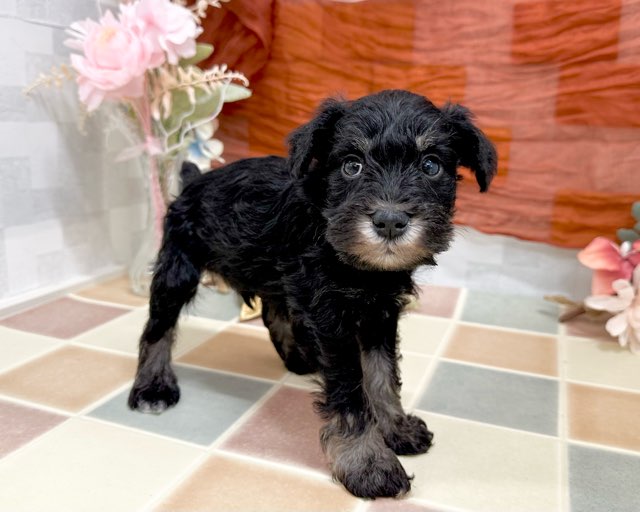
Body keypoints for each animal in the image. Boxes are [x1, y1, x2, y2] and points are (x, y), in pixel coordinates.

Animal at [128, 90, 497, 499]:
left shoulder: (380, 315)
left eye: (431, 165)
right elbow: (351, 389)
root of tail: (194, 180)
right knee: (157, 328)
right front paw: (368, 464)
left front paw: (396, 428)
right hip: (178, 268)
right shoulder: (331, 320)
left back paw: (299, 358)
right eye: (351, 166)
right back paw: (153, 387)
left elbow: (382, 375)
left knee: (274, 310)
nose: (389, 221)